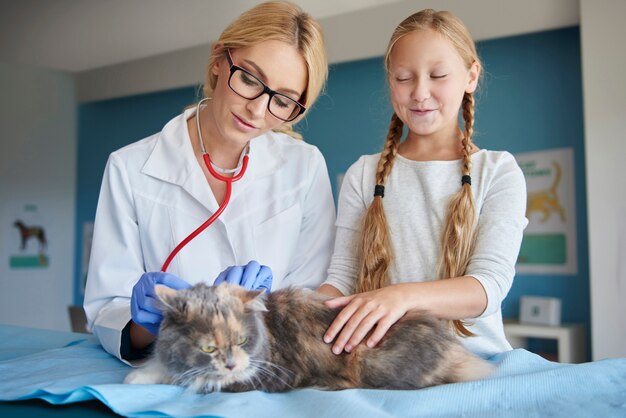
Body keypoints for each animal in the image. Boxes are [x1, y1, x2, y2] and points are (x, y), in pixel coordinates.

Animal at [123, 282, 492, 394]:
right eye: (208, 346)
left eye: (241, 341)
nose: (229, 363)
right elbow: (157, 368)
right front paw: (135, 378)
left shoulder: (273, 373)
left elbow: (202, 380)